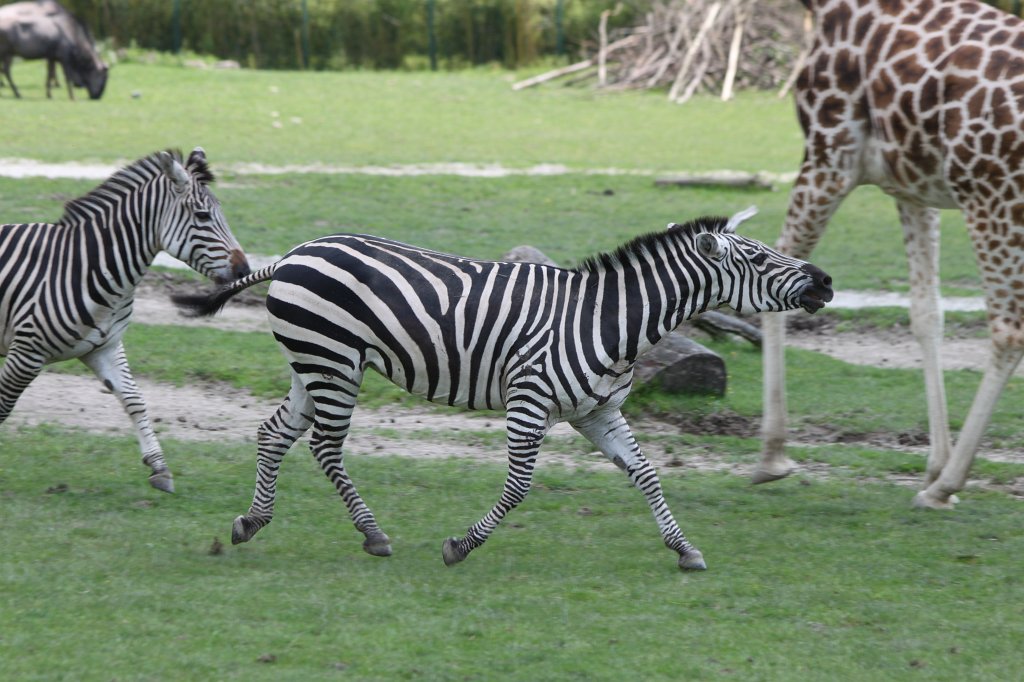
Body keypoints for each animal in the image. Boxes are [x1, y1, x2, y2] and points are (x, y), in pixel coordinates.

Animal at [0, 148, 250, 493]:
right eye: (202, 217)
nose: (245, 271)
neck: (86, 267)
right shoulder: (26, 352)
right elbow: (3, 405)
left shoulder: (105, 347)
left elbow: (134, 400)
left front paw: (159, 467)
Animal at [173, 206, 833, 570]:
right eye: (758, 259)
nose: (826, 281)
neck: (606, 321)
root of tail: (290, 255)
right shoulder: (529, 400)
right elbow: (518, 486)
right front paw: (460, 547)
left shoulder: (597, 413)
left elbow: (647, 474)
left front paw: (684, 548)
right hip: (334, 363)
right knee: (325, 447)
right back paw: (373, 534)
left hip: (314, 364)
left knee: (274, 433)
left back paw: (251, 521)